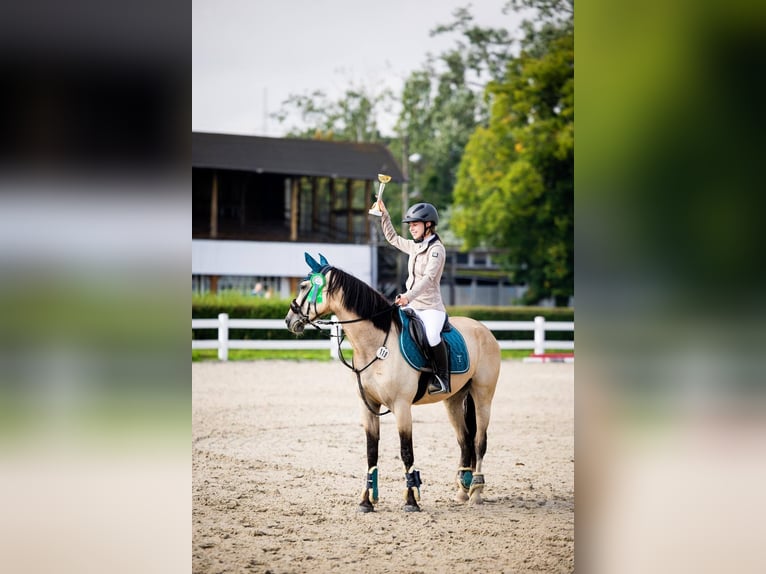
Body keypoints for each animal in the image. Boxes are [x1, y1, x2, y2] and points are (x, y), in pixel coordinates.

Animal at [284, 253, 501, 513]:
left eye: (304, 286)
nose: (289, 320)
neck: (376, 345)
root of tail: (483, 329)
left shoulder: (401, 406)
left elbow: (406, 451)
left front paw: (411, 501)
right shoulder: (368, 406)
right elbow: (371, 451)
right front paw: (366, 501)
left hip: (482, 397)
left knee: (479, 442)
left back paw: (476, 492)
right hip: (454, 400)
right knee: (465, 441)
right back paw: (461, 492)